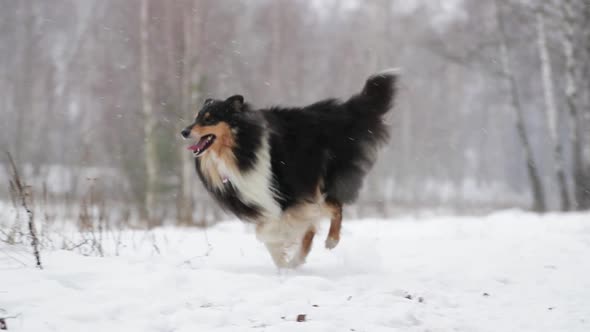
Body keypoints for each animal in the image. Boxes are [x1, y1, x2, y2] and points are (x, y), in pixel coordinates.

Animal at [183, 69, 400, 268]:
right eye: (196, 117)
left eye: (209, 119)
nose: (184, 132)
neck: (239, 149)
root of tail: (341, 112)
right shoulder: (261, 202)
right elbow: (269, 232)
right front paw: (284, 261)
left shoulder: (287, 194)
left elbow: (273, 231)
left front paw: (287, 257)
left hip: (320, 178)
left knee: (335, 207)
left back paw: (329, 241)